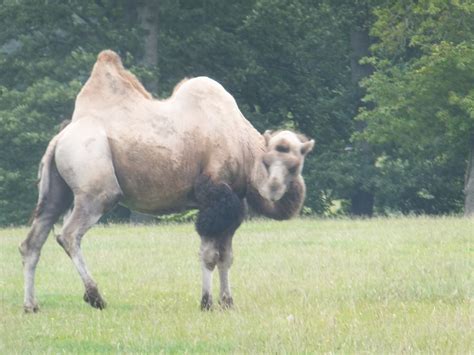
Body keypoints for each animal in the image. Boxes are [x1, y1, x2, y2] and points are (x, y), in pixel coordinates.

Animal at [19, 50, 314, 314]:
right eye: (268, 161)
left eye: (295, 164)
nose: (274, 190)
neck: (243, 145)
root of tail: (60, 138)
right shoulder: (213, 194)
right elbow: (210, 254)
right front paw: (206, 303)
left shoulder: (233, 204)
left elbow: (227, 256)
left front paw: (228, 303)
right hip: (95, 187)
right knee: (69, 234)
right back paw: (95, 297)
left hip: (56, 190)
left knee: (33, 240)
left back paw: (31, 305)